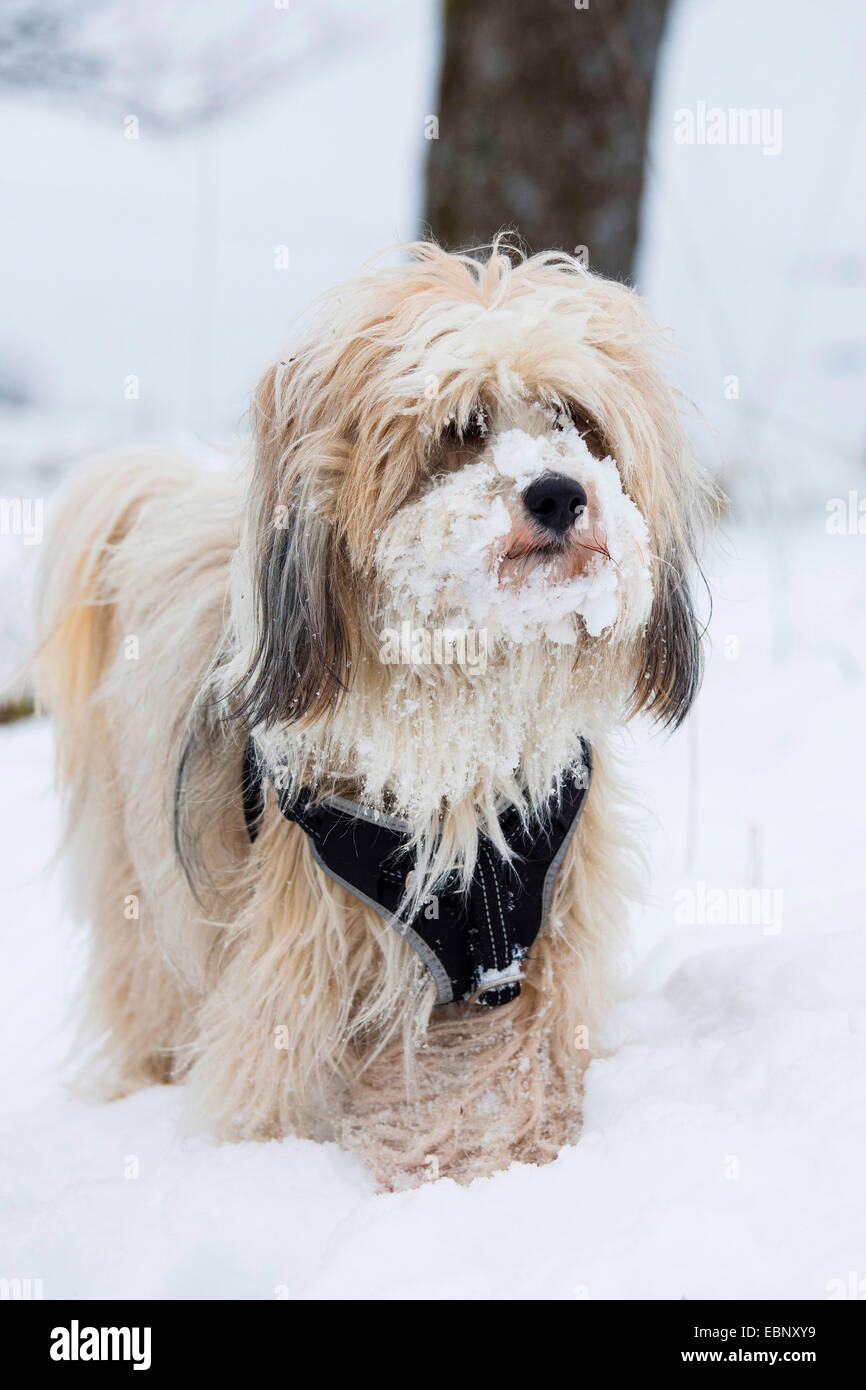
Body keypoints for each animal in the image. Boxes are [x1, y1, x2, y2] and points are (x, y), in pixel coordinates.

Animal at [30, 239, 717, 1184]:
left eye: (576, 420)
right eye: (461, 427)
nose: (557, 493)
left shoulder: (540, 943)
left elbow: (515, 1071)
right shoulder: (301, 954)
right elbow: (271, 1076)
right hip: (150, 892)